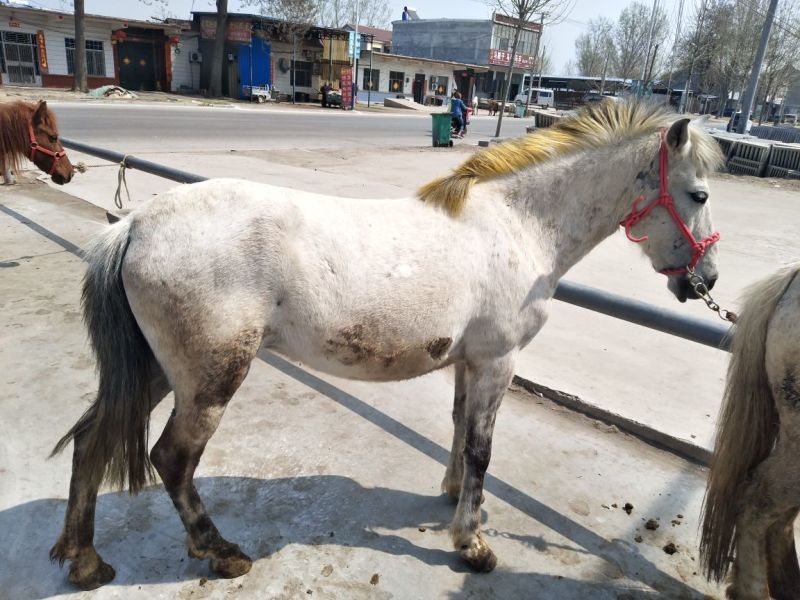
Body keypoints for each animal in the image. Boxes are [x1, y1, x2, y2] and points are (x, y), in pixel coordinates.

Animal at [49, 100, 724, 589]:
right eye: (699, 194)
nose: (708, 281)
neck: (517, 222)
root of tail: (135, 225)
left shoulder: (470, 362)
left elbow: (459, 428)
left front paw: (452, 499)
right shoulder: (498, 363)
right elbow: (482, 449)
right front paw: (472, 544)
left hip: (158, 371)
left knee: (90, 441)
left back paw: (85, 561)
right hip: (209, 380)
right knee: (171, 459)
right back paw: (219, 552)